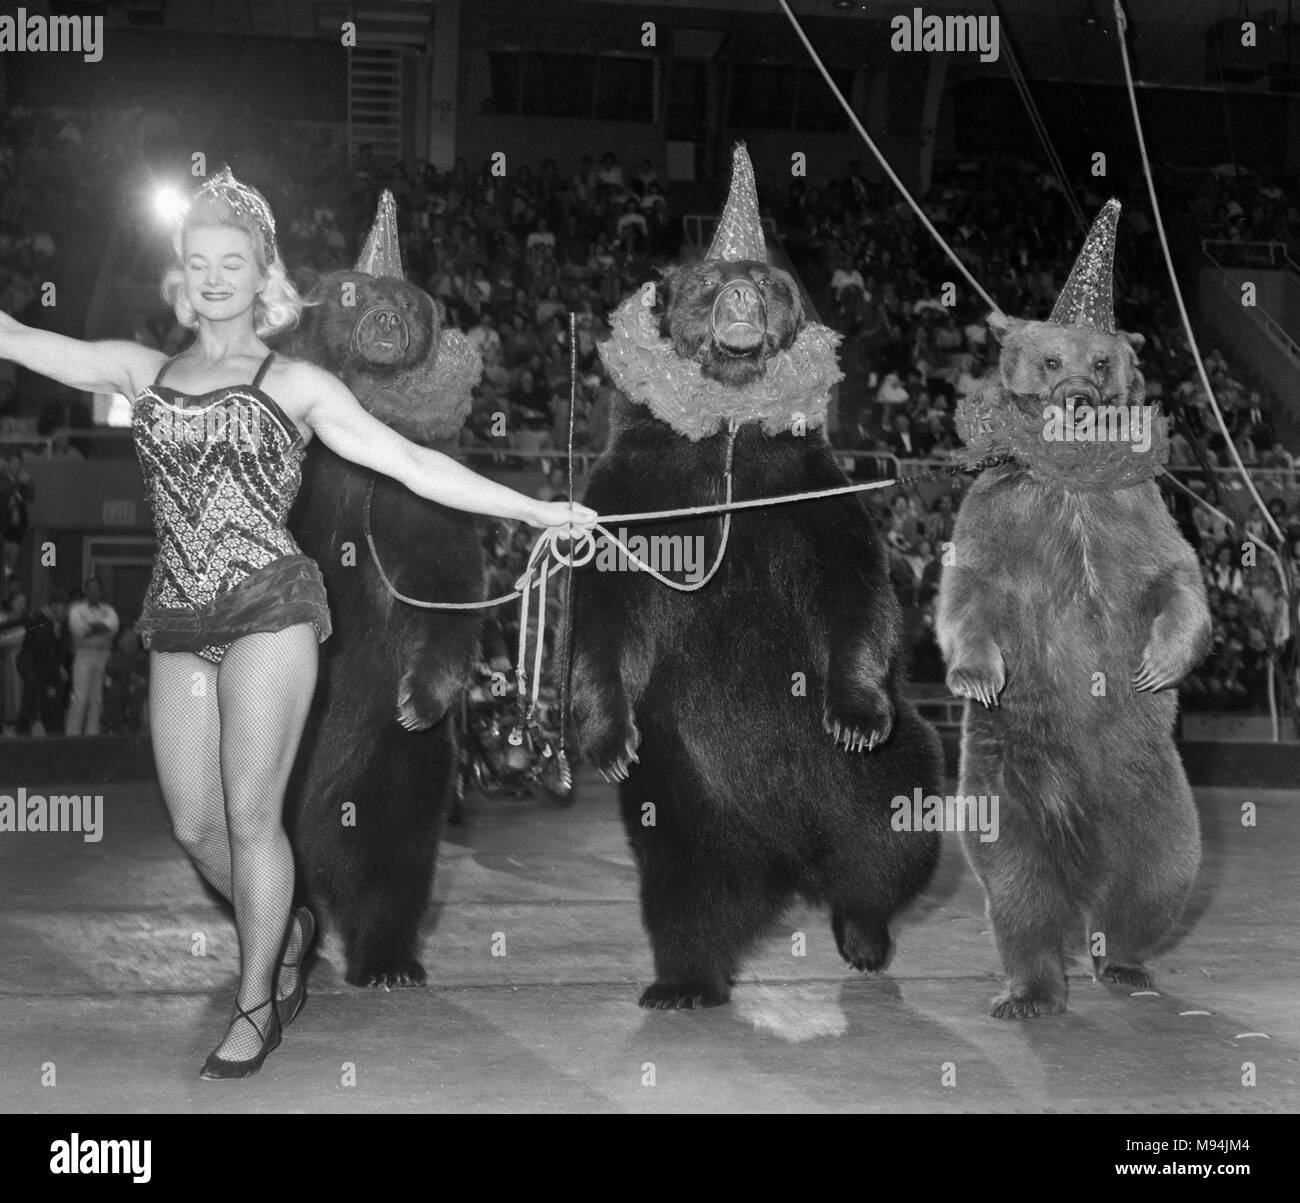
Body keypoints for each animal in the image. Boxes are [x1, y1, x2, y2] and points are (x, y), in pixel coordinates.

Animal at [276, 197, 486, 983]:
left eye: (407, 297)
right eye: (350, 292)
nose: (387, 318)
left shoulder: (413, 487)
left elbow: (446, 577)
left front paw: (422, 695)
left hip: (386, 758)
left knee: (396, 851)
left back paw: (386, 957)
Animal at [572, 145, 946, 1009]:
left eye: (772, 280)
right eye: (710, 281)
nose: (741, 294)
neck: (728, 431)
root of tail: (792, 862)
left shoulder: (804, 485)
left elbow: (854, 581)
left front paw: (854, 711)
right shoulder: (641, 485)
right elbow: (608, 605)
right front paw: (605, 737)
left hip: (878, 783)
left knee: (896, 837)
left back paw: (864, 933)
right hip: (687, 793)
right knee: (687, 889)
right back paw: (683, 980)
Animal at [935, 201, 1206, 1019]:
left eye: (1101, 361)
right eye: (1052, 360)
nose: (1080, 395)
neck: (1072, 480)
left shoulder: (1133, 511)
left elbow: (1176, 575)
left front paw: (1157, 663)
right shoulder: (1002, 512)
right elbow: (970, 586)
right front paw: (977, 673)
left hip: (1160, 798)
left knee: (1156, 884)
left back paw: (1122, 964)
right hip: (1006, 787)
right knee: (1019, 892)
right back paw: (1030, 989)